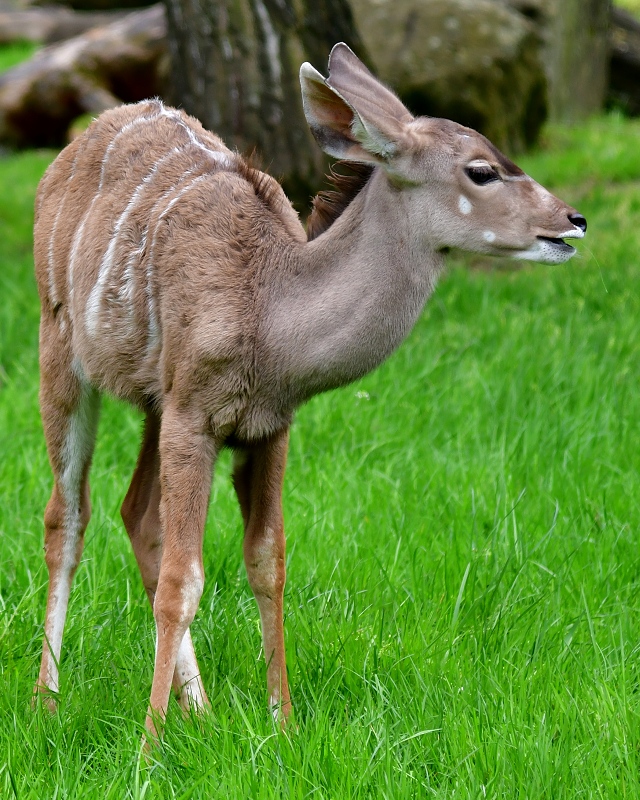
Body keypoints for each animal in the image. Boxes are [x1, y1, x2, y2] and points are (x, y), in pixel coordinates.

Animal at [33, 40, 584, 736]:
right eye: (481, 171)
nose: (573, 221)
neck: (270, 311)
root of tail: (67, 153)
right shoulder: (194, 416)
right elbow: (184, 582)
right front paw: (150, 743)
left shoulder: (267, 425)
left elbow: (267, 562)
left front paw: (282, 721)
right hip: (62, 352)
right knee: (67, 514)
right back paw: (47, 699)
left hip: (154, 402)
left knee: (136, 512)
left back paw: (201, 709)